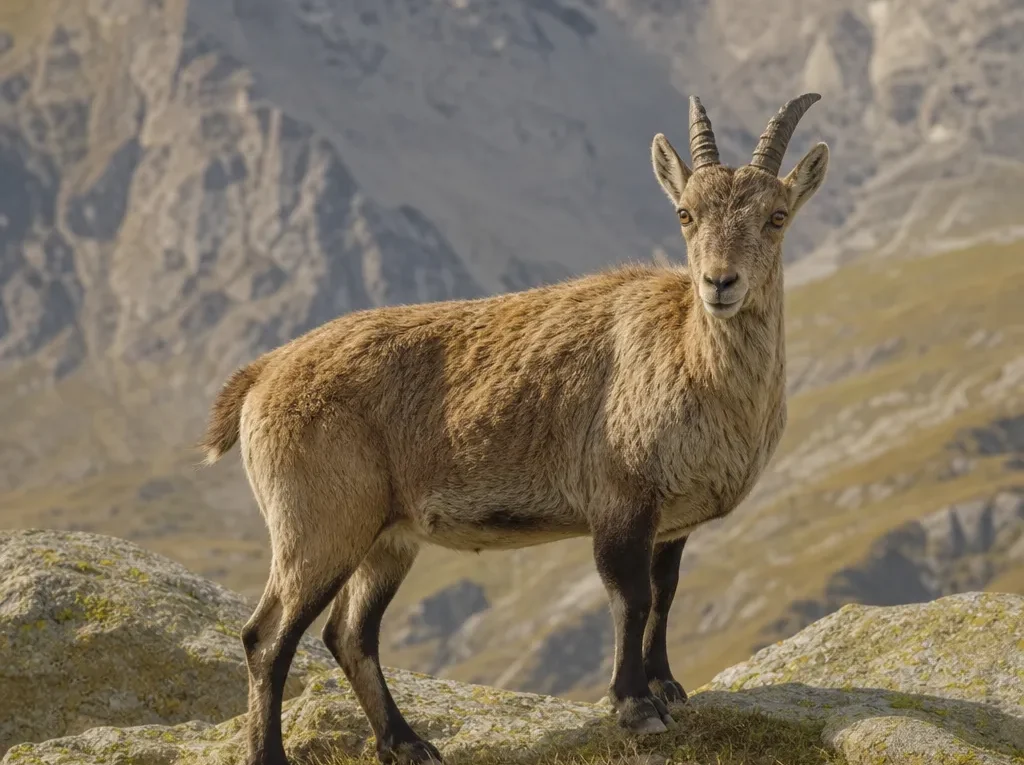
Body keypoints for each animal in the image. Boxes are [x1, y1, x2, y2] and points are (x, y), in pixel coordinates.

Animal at [200, 94, 828, 765]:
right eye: (685, 214)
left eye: (777, 216)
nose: (719, 283)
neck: (688, 356)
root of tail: (263, 374)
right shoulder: (620, 500)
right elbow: (630, 597)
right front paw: (635, 706)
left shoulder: (671, 520)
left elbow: (665, 593)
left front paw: (668, 688)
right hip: (319, 523)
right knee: (267, 636)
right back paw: (275, 752)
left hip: (384, 538)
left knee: (350, 633)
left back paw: (408, 742)